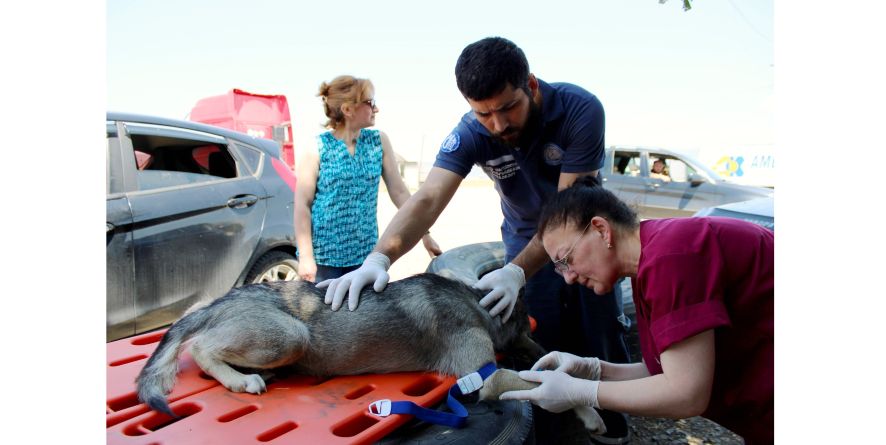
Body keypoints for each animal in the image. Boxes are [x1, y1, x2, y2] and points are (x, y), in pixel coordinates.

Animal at [137, 270, 604, 434]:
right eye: (524, 326)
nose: (544, 348)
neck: (474, 302)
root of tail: (220, 300)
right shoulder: (483, 375)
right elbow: (533, 380)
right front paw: (586, 409)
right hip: (290, 335)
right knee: (200, 347)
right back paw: (241, 379)